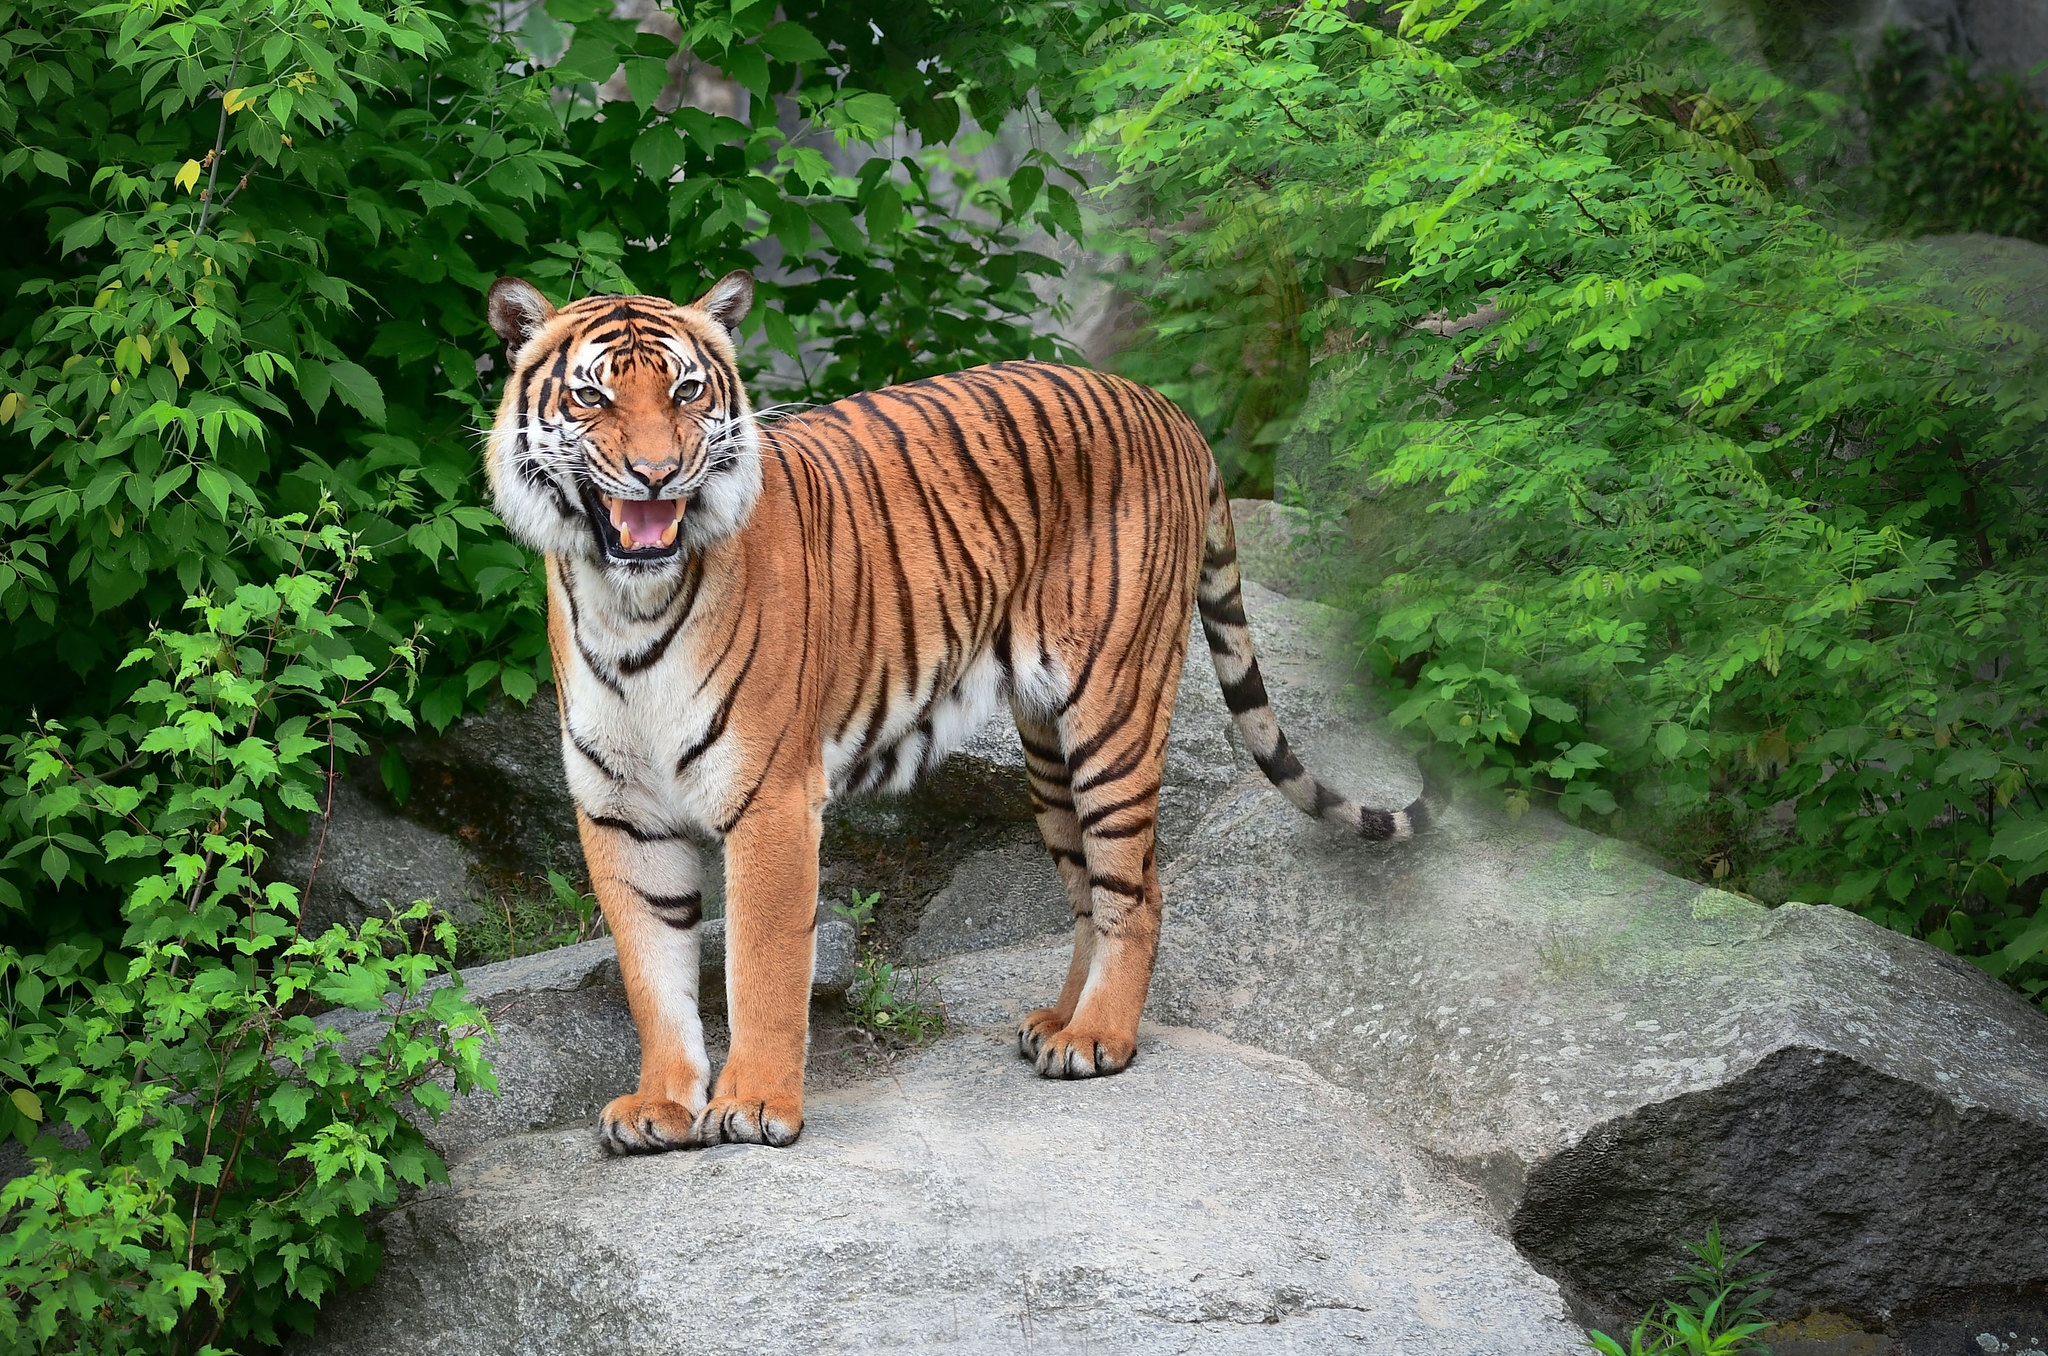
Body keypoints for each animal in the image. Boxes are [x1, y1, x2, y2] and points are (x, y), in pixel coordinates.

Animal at [479, 268, 1441, 1155]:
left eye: (686, 391)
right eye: (593, 395)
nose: (656, 474)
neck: (626, 603)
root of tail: (1165, 406)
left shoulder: (772, 800)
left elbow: (760, 962)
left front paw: (753, 1103)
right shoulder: (620, 810)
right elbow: (652, 971)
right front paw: (662, 1105)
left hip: (1115, 715)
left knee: (1138, 887)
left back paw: (1099, 1037)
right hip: (1048, 752)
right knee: (1088, 888)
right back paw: (1058, 1023)